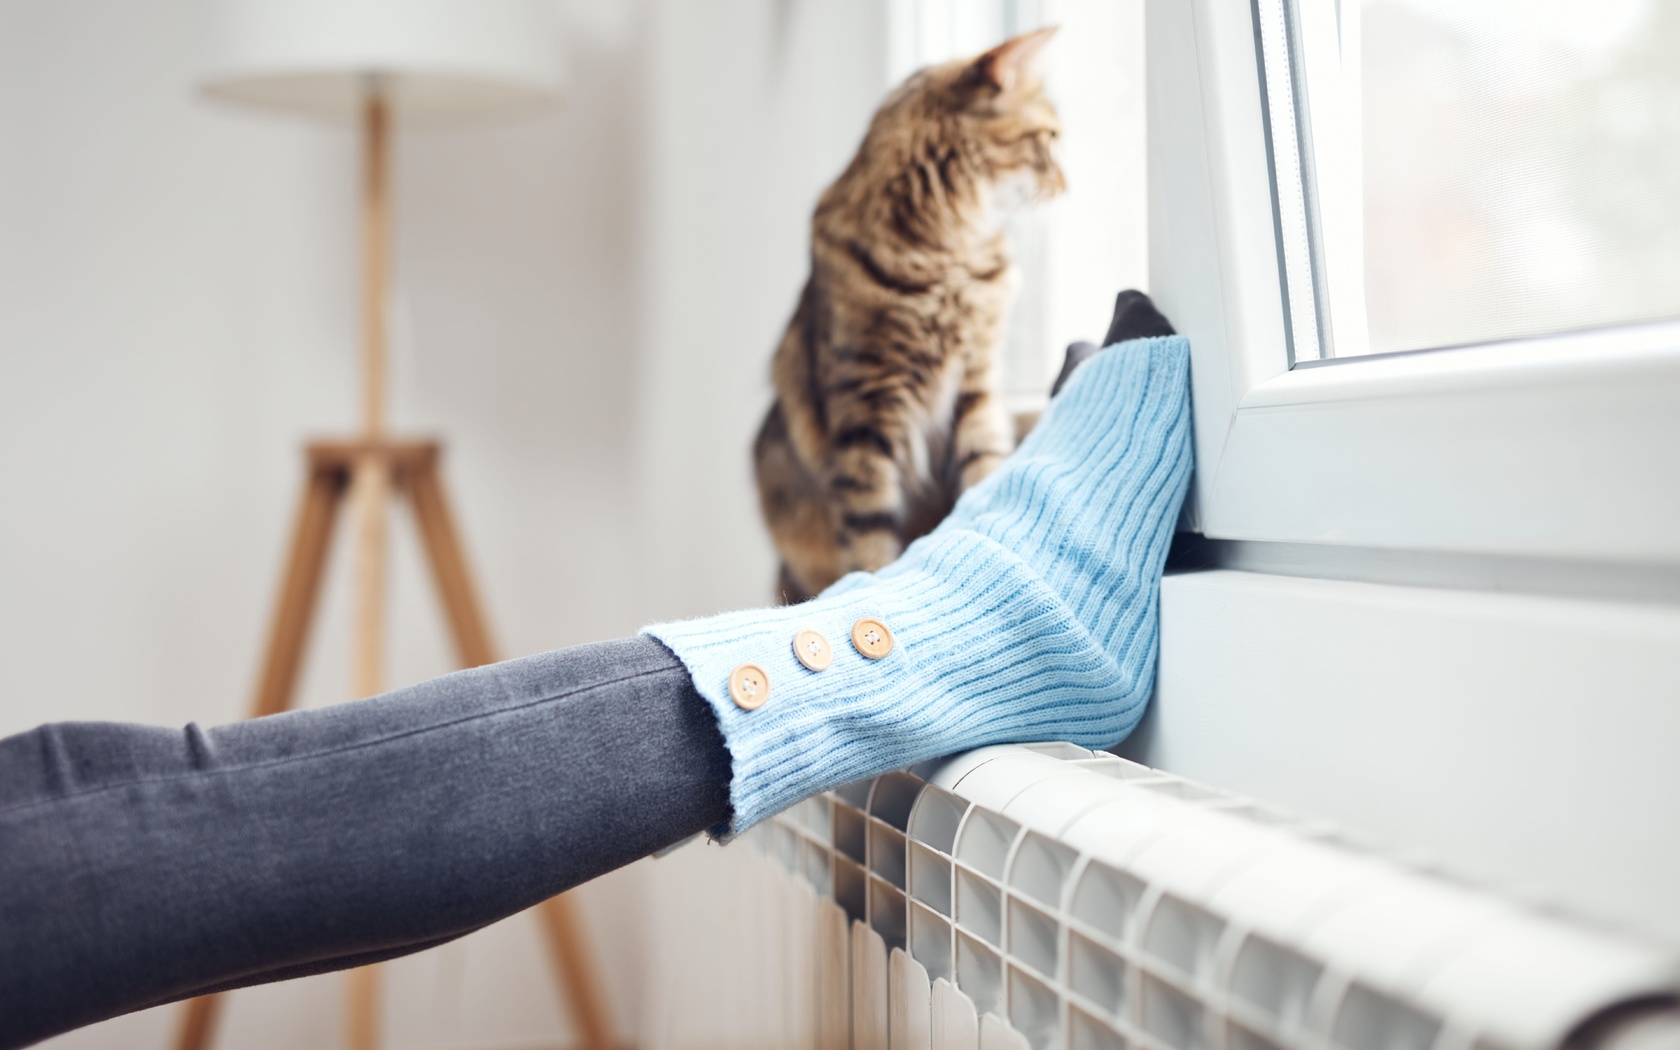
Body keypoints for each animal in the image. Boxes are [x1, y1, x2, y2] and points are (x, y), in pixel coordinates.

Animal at [752, 28, 1055, 601]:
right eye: (1049, 138)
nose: (1065, 183)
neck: (946, 256)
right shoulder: (866, 410)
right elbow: (870, 536)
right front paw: (870, 584)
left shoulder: (976, 389)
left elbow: (983, 475)